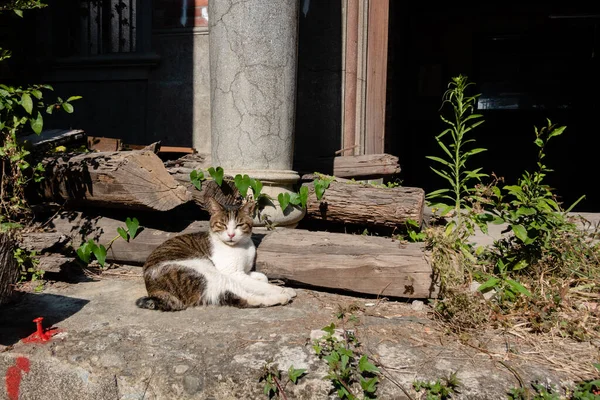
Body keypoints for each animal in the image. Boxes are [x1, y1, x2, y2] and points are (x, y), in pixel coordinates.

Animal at [135, 198, 296, 310]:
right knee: (241, 296)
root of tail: (154, 291)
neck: (241, 247)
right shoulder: (234, 274)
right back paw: (282, 295)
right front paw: (281, 288)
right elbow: (260, 285)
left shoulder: (244, 272)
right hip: (207, 273)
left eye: (239, 225)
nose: (231, 234)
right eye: (222, 225)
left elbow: (262, 278)